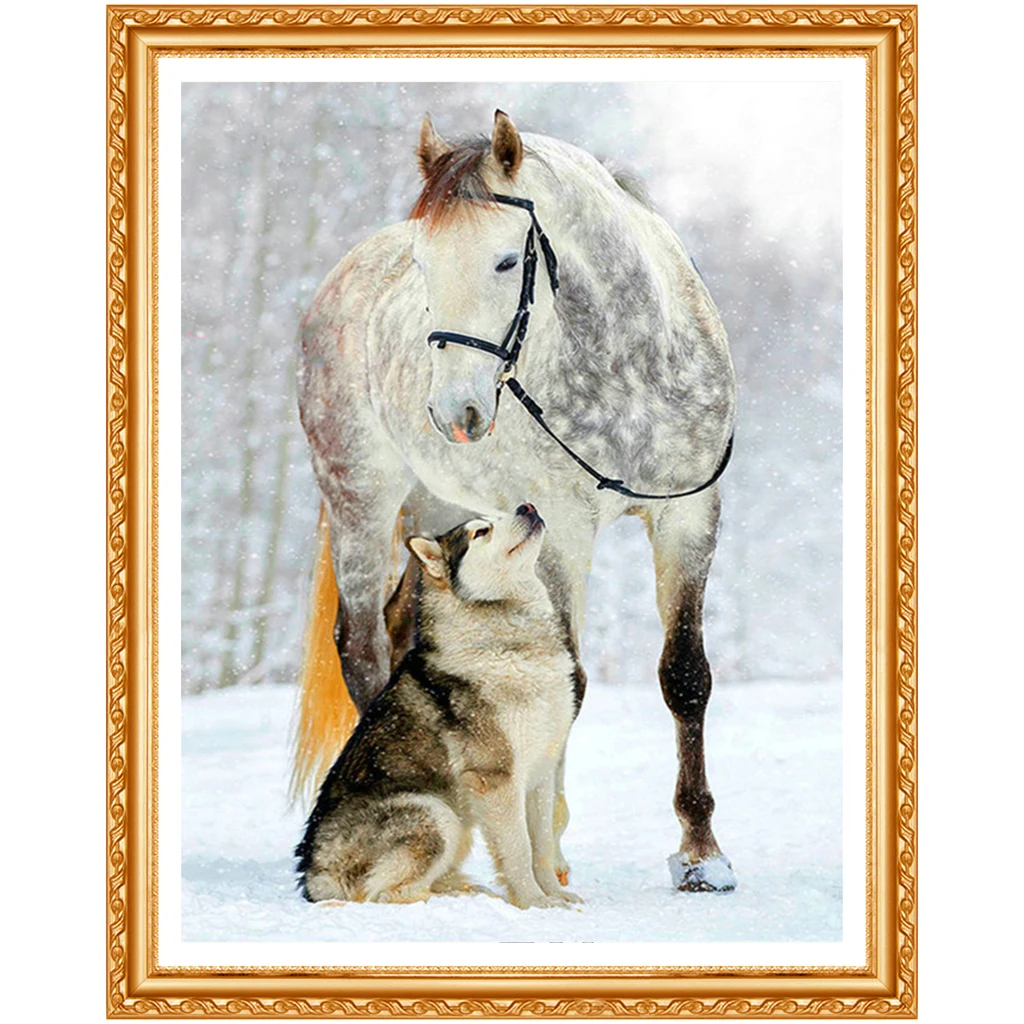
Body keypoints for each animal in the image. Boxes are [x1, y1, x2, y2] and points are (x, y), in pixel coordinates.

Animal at [295, 503, 582, 909]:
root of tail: (313, 876)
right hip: (436, 813)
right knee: (384, 894)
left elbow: (541, 846)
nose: (526, 506)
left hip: (456, 823)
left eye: (500, 512)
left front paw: (555, 896)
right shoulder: (497, 777)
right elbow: (519, 849)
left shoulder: (541, 771)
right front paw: (533, 902)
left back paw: (463, 888)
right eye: (481, 532)